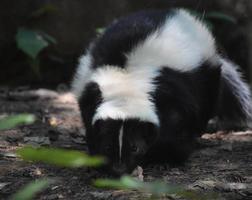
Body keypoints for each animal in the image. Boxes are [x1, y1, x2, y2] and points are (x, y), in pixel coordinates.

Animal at [71, 9, 252, 175]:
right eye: (108, 146)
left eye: (135, 147)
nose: (119, 169)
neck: (127, 82)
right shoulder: (91, 93)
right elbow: (91, 126)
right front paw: (97, 161)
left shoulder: (172, 92)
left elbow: (175, 127)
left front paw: (166, 160)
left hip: (207, 75)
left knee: (205, 106)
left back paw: (197, 134)